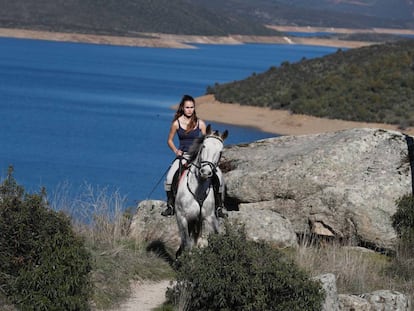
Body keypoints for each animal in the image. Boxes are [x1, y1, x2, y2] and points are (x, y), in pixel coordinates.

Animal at [173, 124, 228, 258]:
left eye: (220, 152)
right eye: (203, 146)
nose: (206, 172)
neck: (197, 190)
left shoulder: (208, 217)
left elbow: (204, 242)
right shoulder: (182, 217)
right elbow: (187, 243)